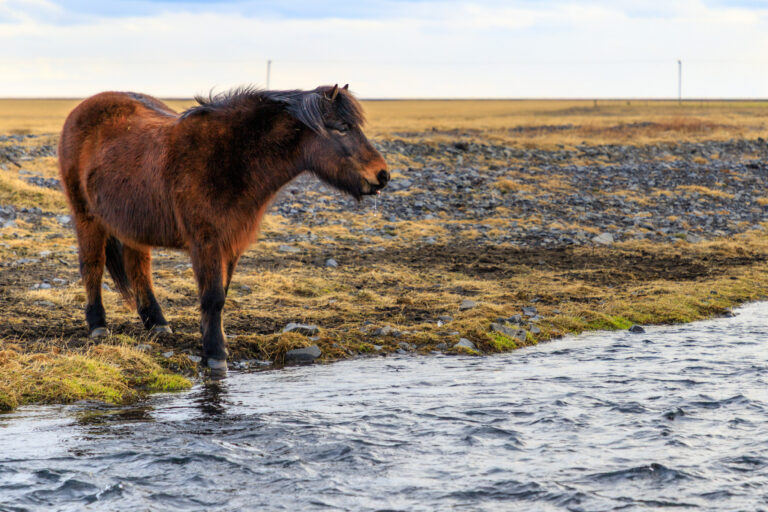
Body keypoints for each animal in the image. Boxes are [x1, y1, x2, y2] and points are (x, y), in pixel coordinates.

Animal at [58, 84, 389, 370]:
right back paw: (98, 325)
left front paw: (214, 344)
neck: (229, 158)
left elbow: (220, 295)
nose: (382, 175)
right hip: (86, 217)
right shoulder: (207, 242)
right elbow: (213, 296)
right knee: (92, 266)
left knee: (138, 268)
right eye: (342, 127)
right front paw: (216, 354)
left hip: (132, 225)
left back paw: (157, 323)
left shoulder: (232, 244)